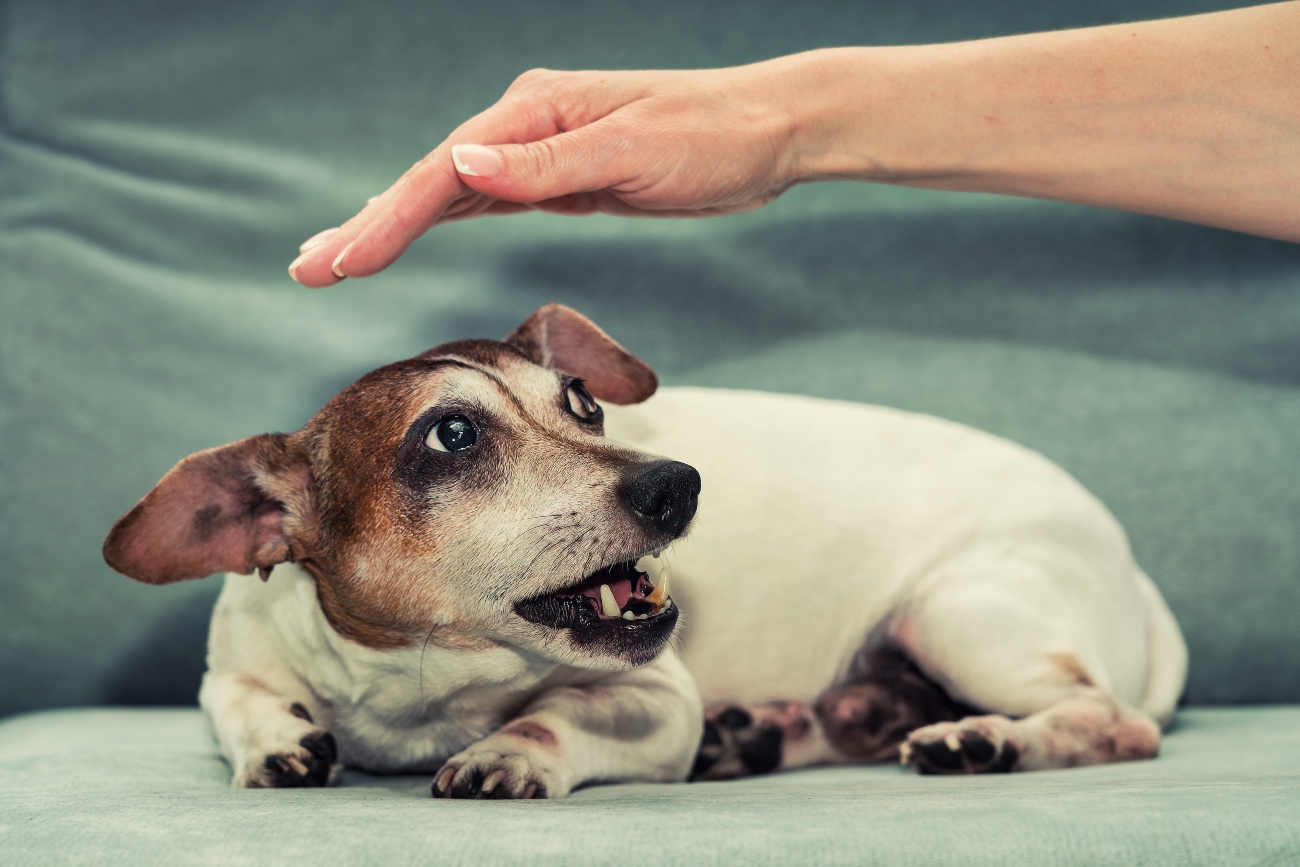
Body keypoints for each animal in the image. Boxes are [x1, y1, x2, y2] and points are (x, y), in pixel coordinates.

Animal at [104, 305, 1190, 800]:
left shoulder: (654, 698)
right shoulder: (233, 664)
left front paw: (508, 749)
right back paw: (770, 732)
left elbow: (552, 718)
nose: (677, 482)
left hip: (961, 613)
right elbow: (241, 704)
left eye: (582, 403)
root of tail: (1136, 575)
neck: (425, 687)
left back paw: (986, 739)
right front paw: (277, 742)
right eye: (450, 435)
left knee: (1111, 720)